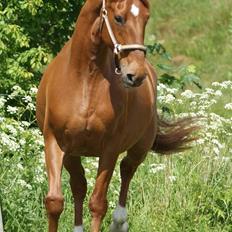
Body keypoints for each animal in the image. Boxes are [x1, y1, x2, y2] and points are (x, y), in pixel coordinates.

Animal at [36, 0, 196, 231]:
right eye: (118, 18)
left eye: (146, 18)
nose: (135, 74)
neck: (86, 80)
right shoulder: (54, 143)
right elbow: (55, 202)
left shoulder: (109, 149)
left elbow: (97, 204)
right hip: (73, 154)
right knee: (79, 184)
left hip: (140, 148)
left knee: (127, 170)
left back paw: (119, 221)